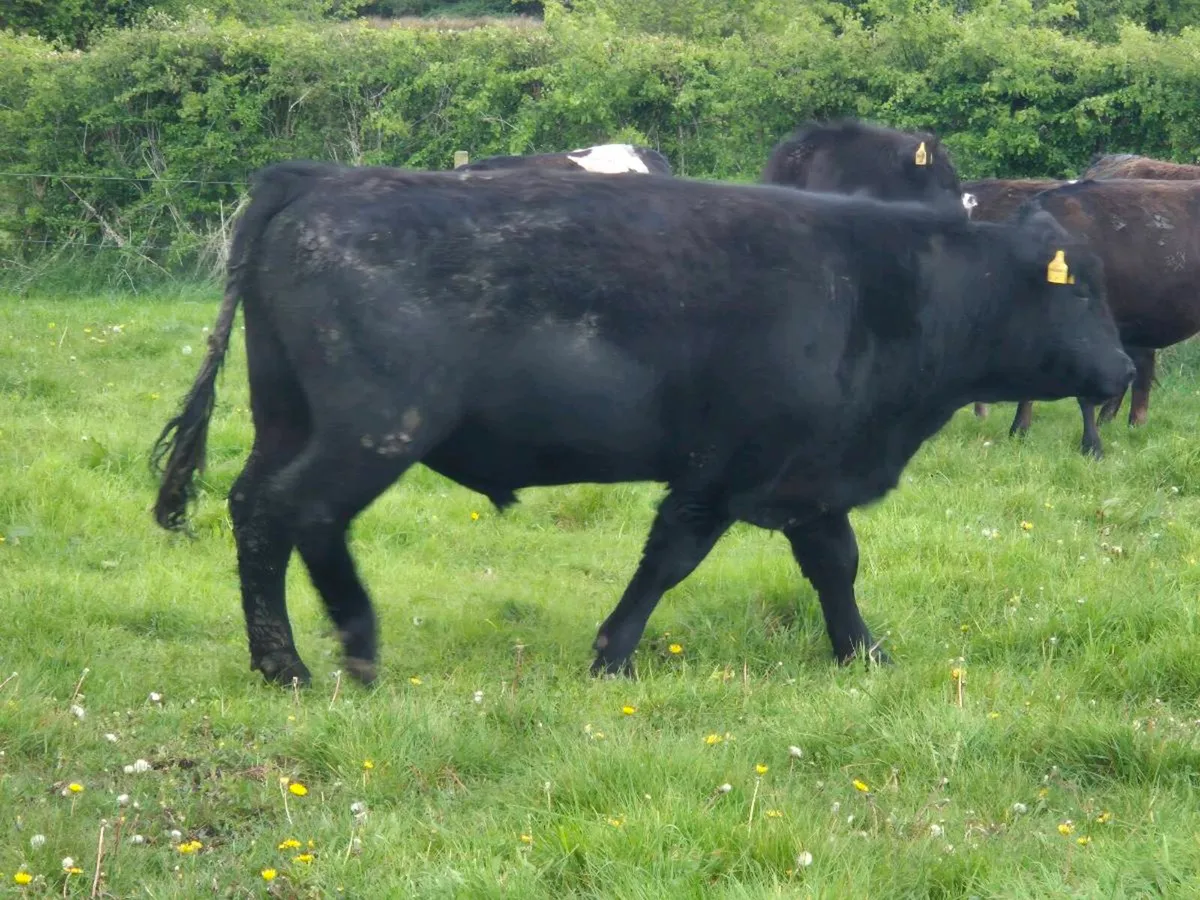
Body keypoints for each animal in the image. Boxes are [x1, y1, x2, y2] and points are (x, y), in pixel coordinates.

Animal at [150, 161, 1133, 688]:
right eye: (1080, 288)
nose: (1123, 370)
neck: (886, 289)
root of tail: (324, 177)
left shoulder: (809, 476)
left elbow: (835, 565)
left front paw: (863, 654)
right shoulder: (724, 471)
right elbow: (669, 561)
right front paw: (612, 654)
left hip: (291, 419)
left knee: (256, 509)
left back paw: (292, 656)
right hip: (377, 428)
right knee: (297, 513)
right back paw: (332, 652)